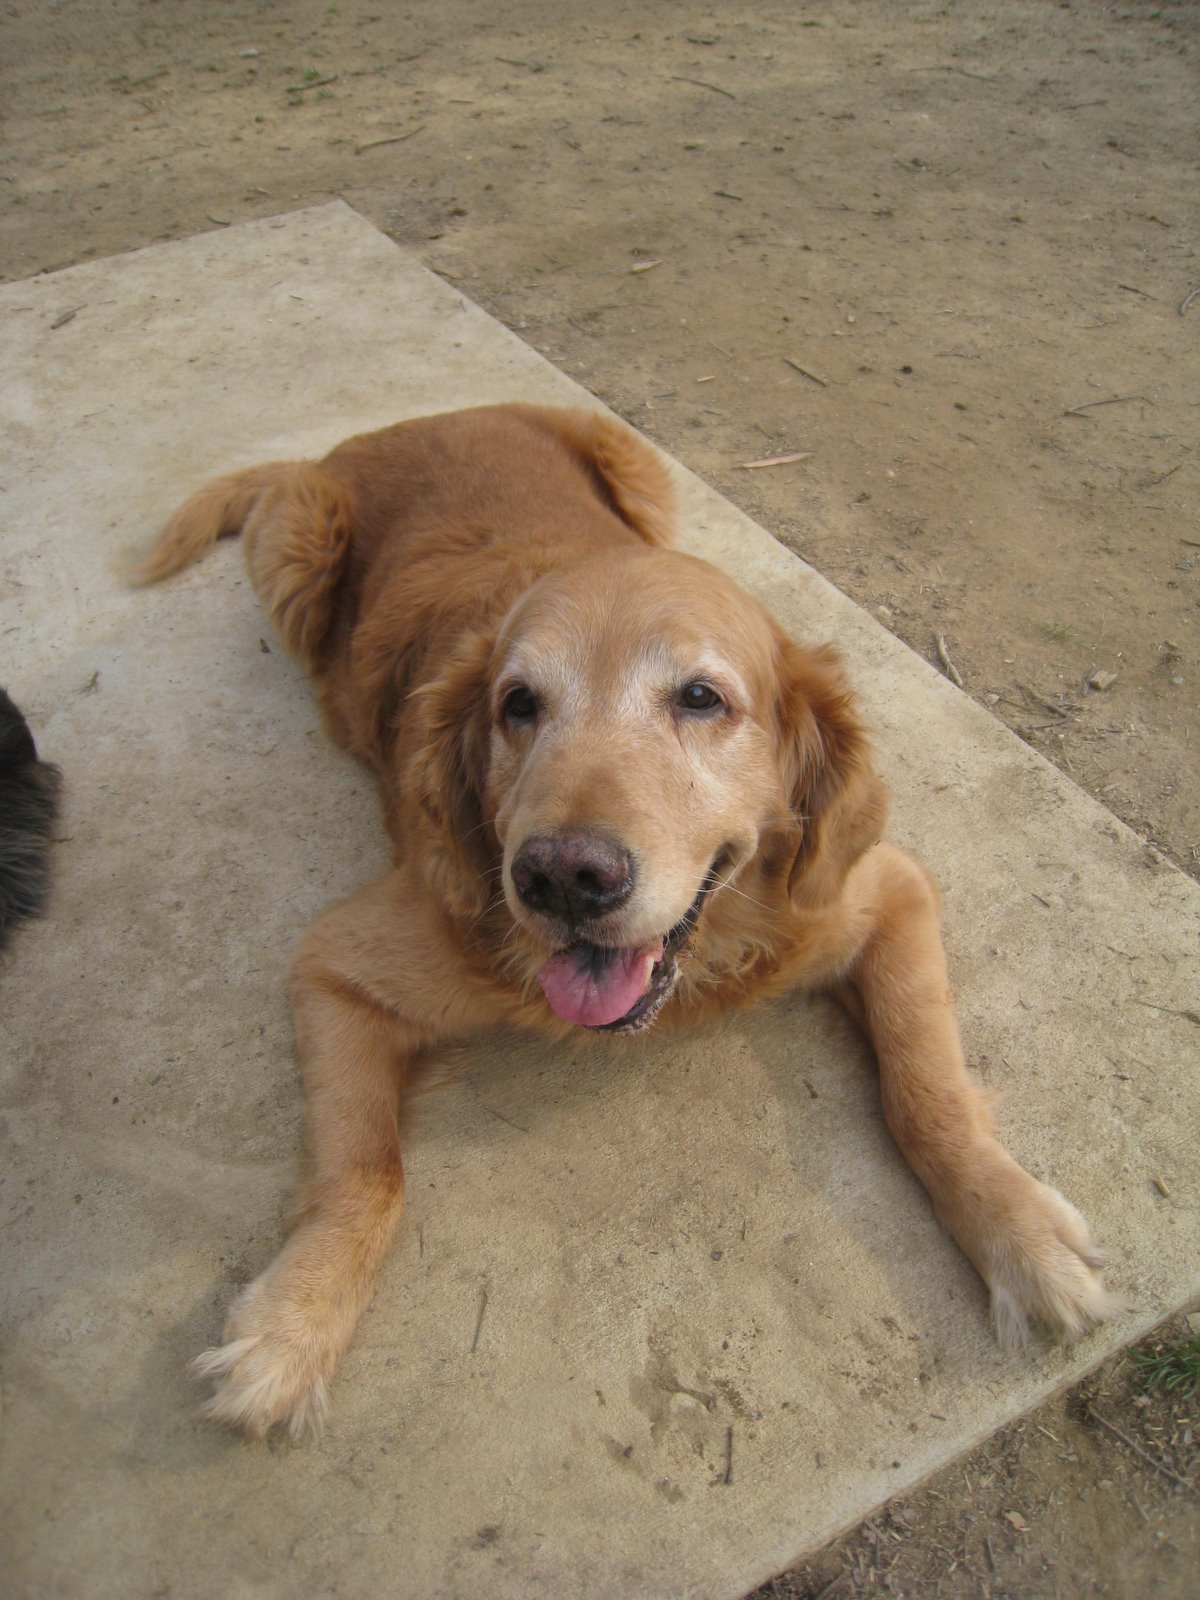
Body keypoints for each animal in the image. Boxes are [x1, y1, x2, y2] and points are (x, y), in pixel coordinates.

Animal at [137, 403, 1115, 1438]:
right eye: (518, 705)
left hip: (638, 470)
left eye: (700, 697)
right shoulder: (338, 962)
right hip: (297, 552)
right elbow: (366, 1173)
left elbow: (926, 1092)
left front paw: (1022, 1236)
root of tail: (403, 423)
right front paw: (291, 1326)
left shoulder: (882, 893)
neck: (709, 950)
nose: (564, 878)